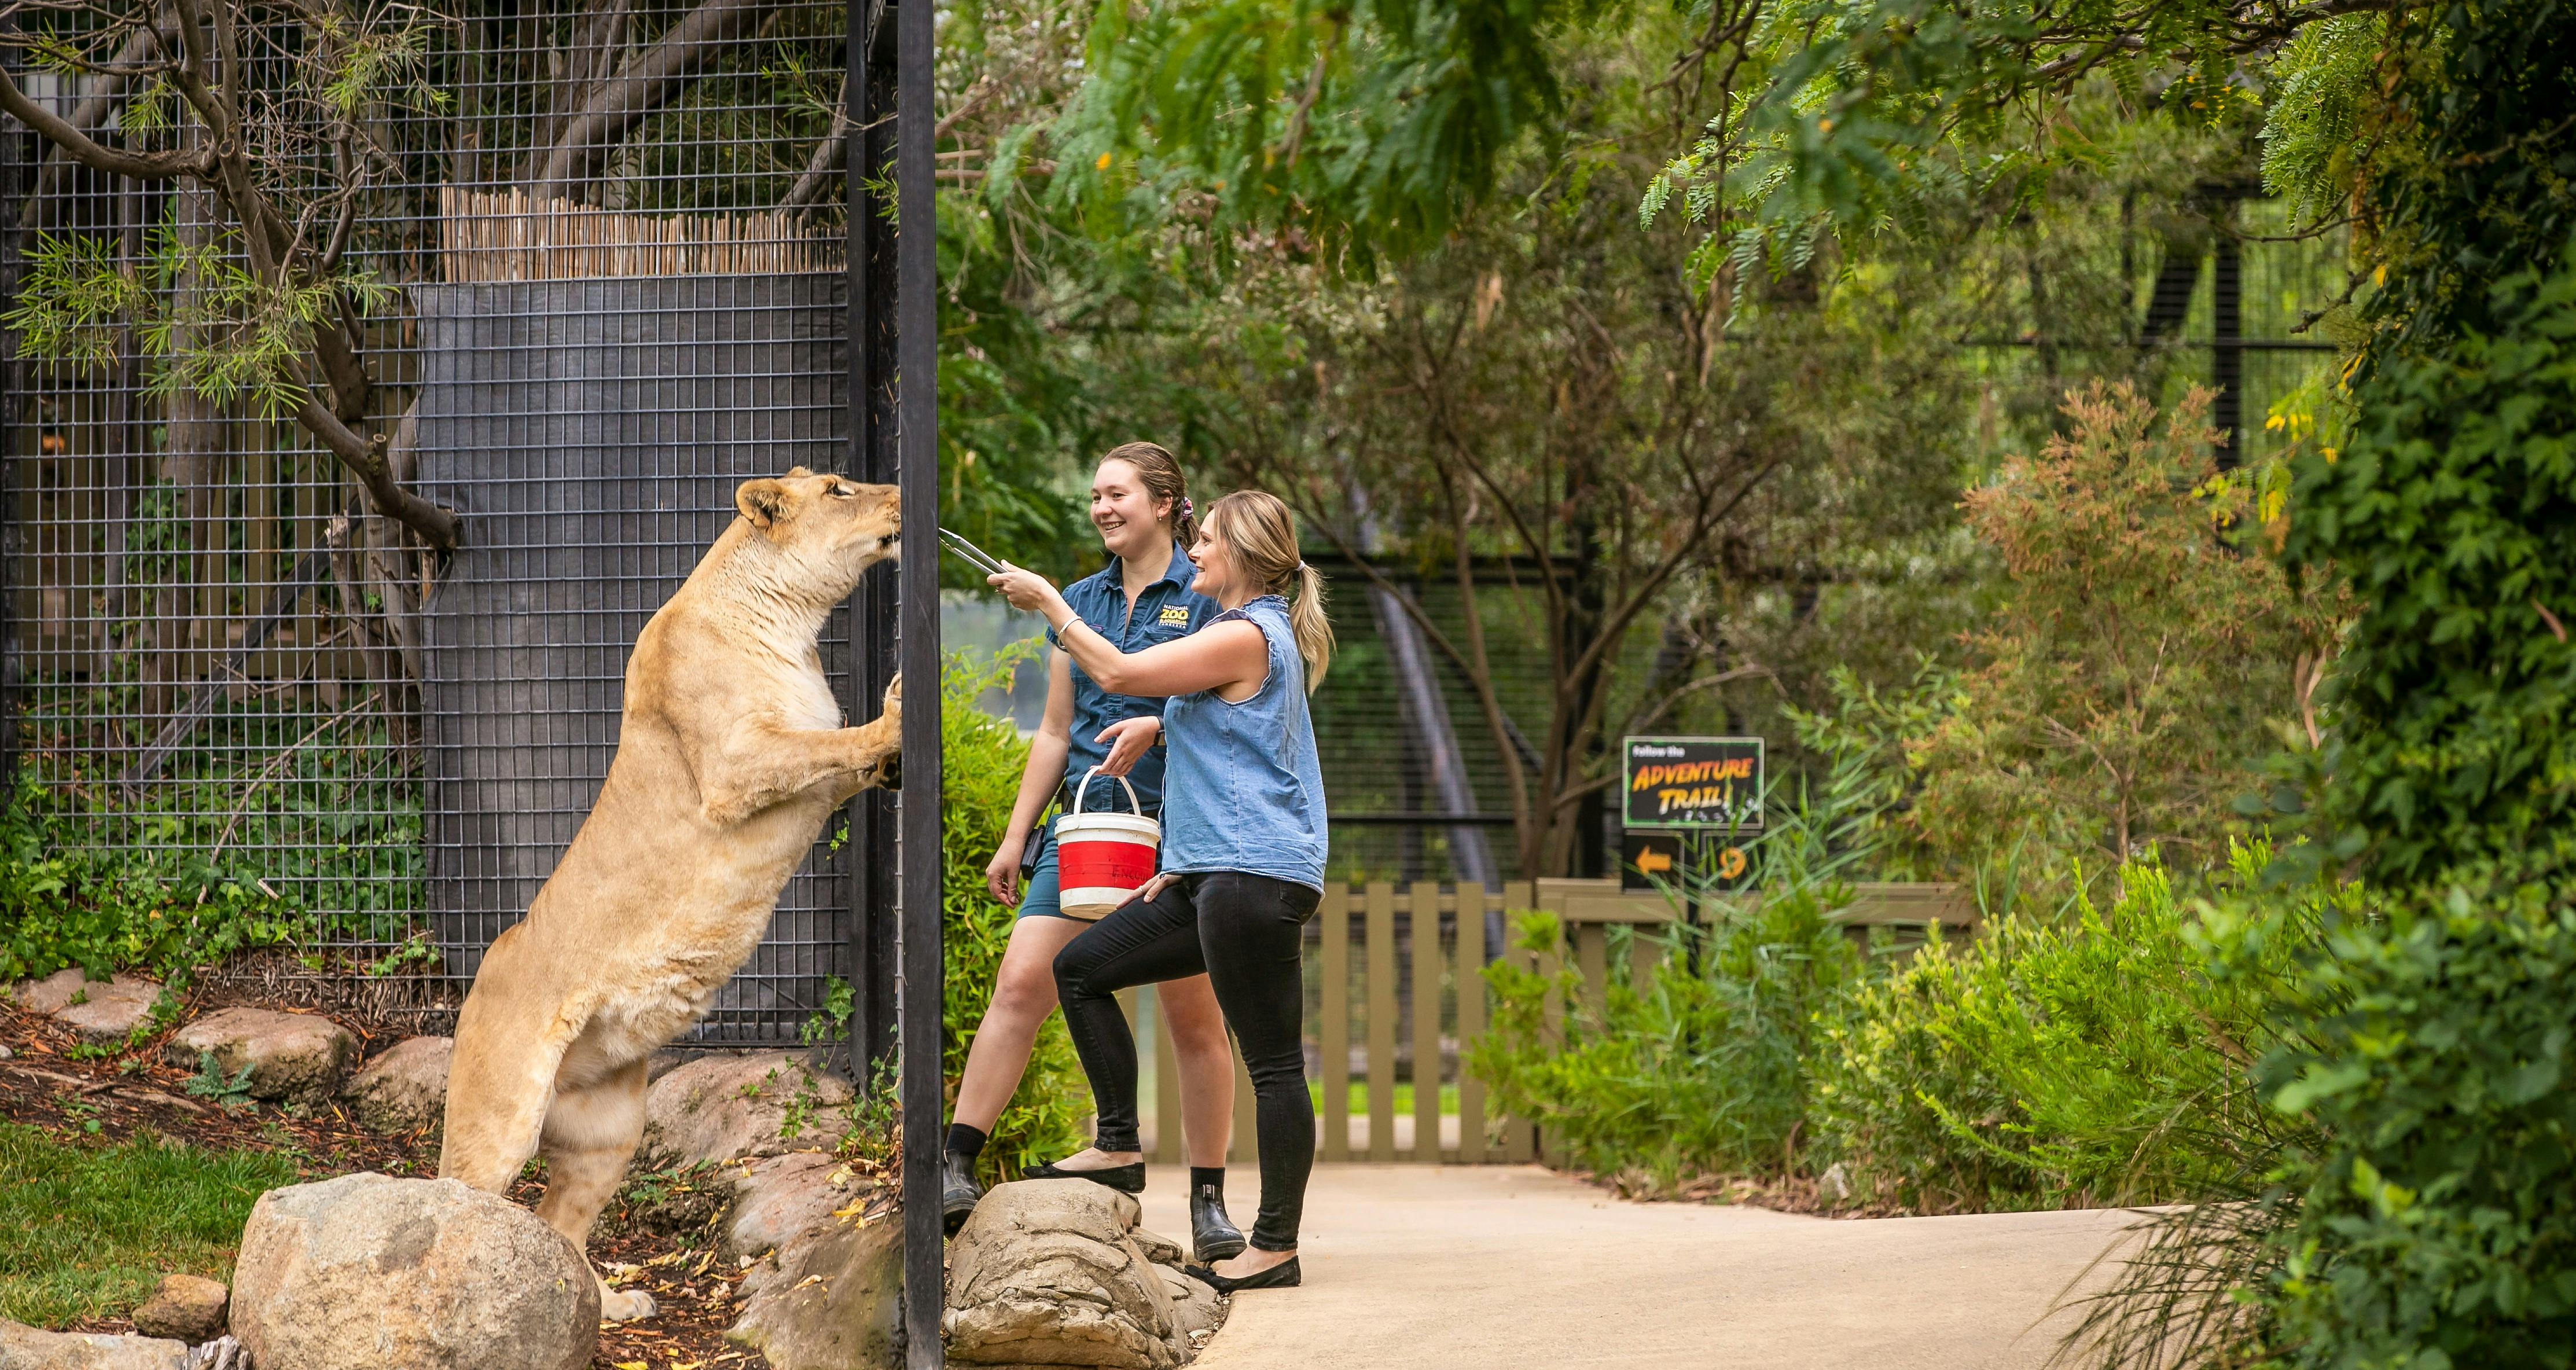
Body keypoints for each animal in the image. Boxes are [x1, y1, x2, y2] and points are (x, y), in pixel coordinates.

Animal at [438, 468, 902, 1322]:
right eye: (838, 488)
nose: (893, 496)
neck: (790, 620)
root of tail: (478, 977)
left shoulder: (803, 777)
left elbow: (834, 753)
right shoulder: (734, 764)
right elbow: (828, 741)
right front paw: (893, 714)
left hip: (609, 1130)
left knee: (560, 1220)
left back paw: (606, 1307)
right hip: (503, 1117)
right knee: (456, 1193)